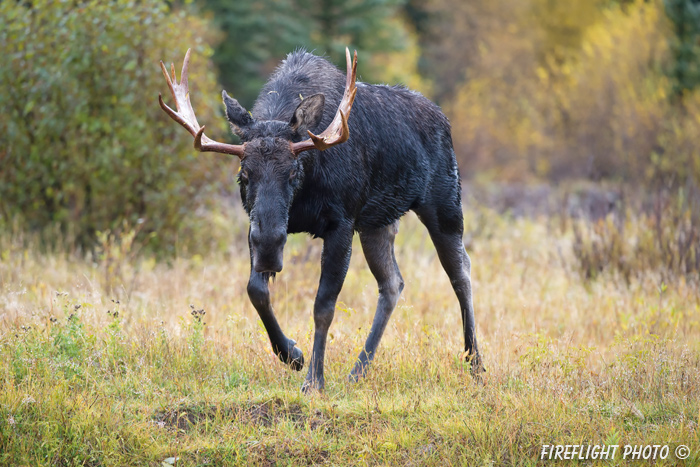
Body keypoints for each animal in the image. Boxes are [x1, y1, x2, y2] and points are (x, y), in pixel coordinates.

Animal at [159, 47, 482, 394]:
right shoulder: (255, 226)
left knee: (461, 272)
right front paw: (292, 355)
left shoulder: (341, 223)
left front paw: (314, 380)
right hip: (377, 223)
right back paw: (358, 371)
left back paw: (475, 364)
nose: (269, 248)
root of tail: (443, 118)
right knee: (392, 283)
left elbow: (323, 306)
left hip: (444, 203)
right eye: (244, 174)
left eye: (293, 171)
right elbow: (255, 290)